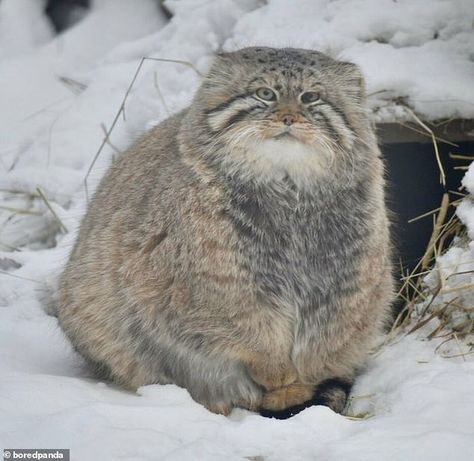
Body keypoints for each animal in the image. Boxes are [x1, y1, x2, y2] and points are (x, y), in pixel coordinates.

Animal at [57, 46, 394, 416]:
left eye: (310, 97)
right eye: (265, 94)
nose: (289, 118)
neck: (288, 189)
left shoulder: (346, 286)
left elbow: (319, 347)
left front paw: (298, 387)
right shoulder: (217, 291)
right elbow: (253, 337)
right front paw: (278, 377)